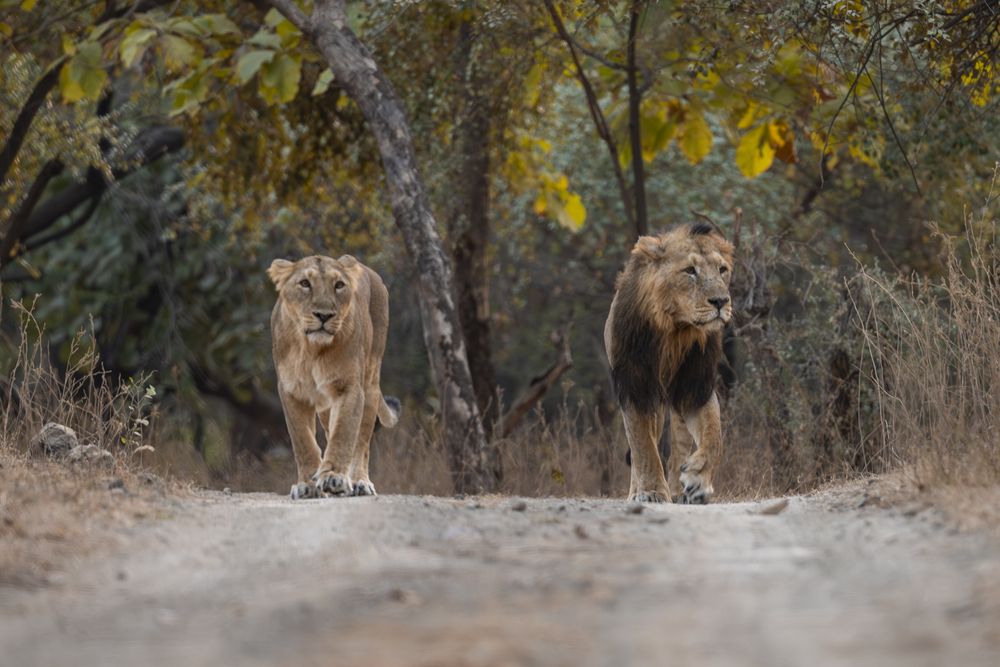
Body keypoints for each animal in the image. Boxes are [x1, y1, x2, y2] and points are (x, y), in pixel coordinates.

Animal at [268, 254, 399, 500]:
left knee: (361, 441)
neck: (311, 350)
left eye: (339, 285)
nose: (324, 315)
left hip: (370, 385)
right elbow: (302, 440)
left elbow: (344, 434)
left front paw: (334, 478)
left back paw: (359, 482)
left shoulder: (348, 387)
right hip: (325, 406)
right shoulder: (291, 391)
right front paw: (307, 485)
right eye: (305, 283)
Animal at [604, 223, 734, 504]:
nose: (721, 301)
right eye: (690, 271)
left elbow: (713, 436)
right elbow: (643, 444)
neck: (676, 329)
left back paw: (680, 490)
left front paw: (698, 479)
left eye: (722, 270)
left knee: (680, 442)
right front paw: (651, 491)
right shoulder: (635, 385)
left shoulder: (695, 386)